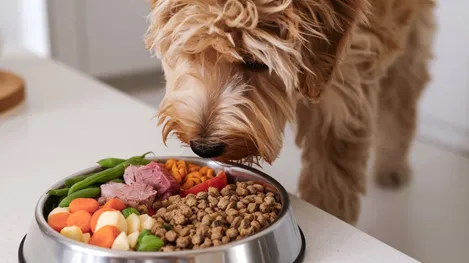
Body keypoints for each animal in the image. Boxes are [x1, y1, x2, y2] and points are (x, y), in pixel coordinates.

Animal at [145, 0, 436, 226]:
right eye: (191, 50)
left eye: (255, 62)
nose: (204, 147)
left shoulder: (343, 102)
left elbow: (331, 183)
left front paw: (332, 216)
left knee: (400, 104)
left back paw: (392, 166)